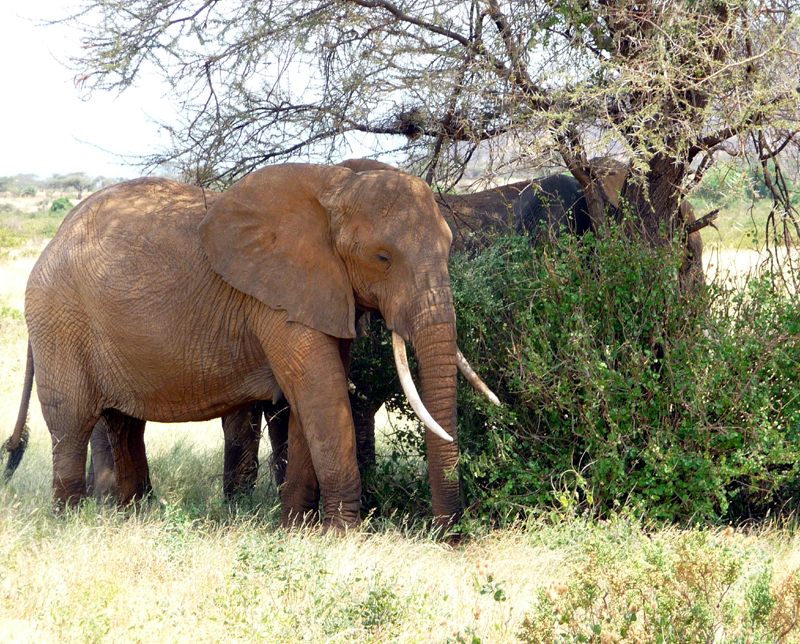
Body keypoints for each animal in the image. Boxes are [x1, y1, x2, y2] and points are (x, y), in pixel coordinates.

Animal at [4, 162, 482, 532]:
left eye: (449, 247)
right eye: (382, 258)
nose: (448, 537)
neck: (335, 185)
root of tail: (51, 243)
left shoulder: (323, 292)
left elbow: (312, 398)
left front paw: (297, 531)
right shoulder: (275, 299)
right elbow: (319, 390)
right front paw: (344, 537)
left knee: (124, 425)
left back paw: (134, 517)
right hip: (59, 321)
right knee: (71, 425)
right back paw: (70, 524)